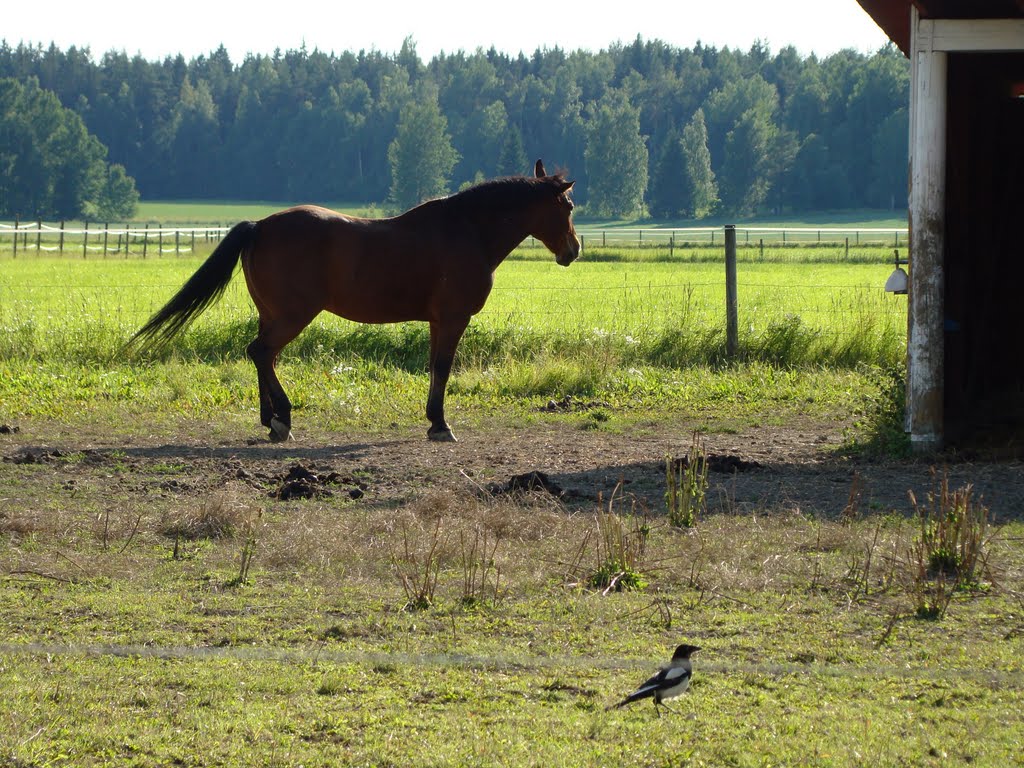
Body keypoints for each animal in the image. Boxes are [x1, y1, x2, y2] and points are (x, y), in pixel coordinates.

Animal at [128, 159, 581, 442]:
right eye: (570, 206)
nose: (573, 250)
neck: (467, 230)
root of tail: (260, 226)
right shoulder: (453, 318)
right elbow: (442, 368)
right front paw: (440, 424)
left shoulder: (438, 321)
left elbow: (434, 368)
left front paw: (432, 420)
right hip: (292, 315)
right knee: (261, 352)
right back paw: (282, 418)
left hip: (272, 315)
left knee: (264, 356)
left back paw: (270, 418)